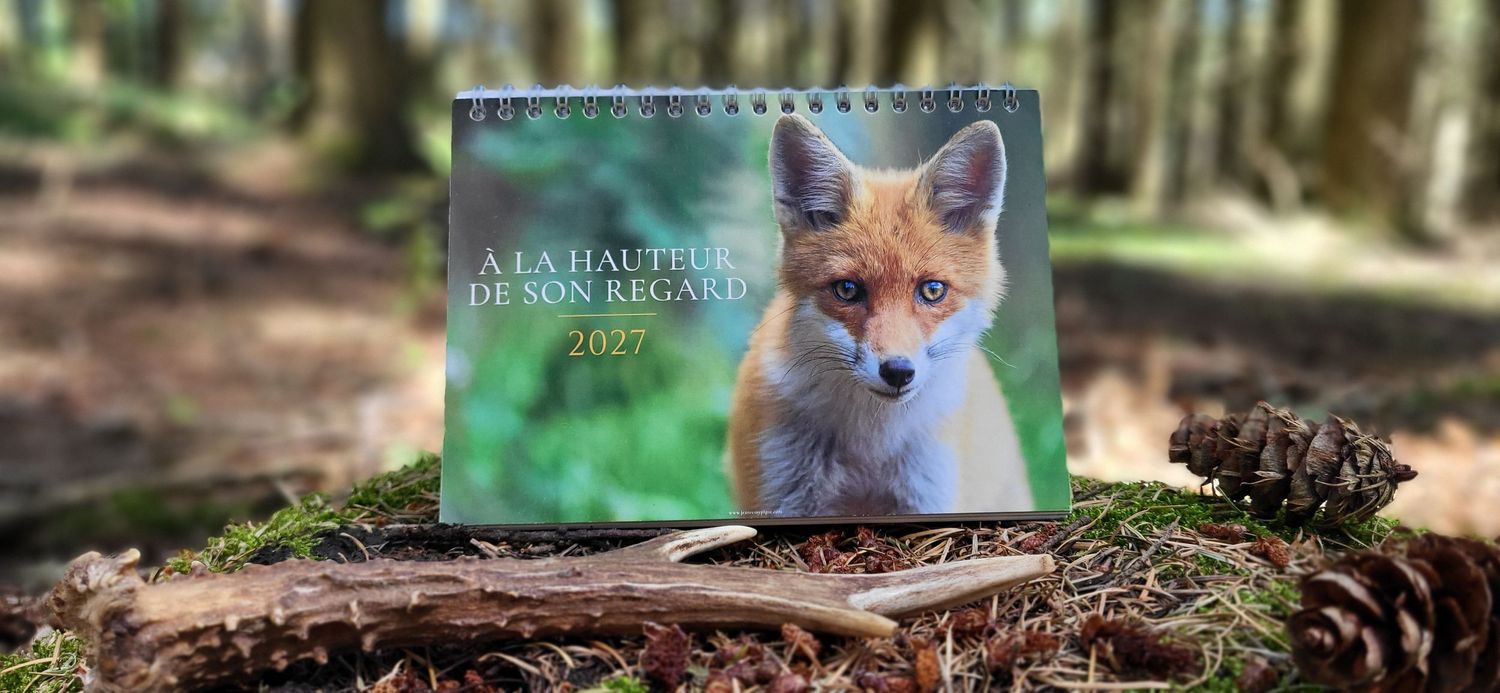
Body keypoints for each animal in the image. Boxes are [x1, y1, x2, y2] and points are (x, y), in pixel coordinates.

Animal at [726, 114, 1033, 517]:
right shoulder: (786, 499)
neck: (870, 448)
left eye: (932, 290)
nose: (898, 372)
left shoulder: (928, 498)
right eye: (847, 289)